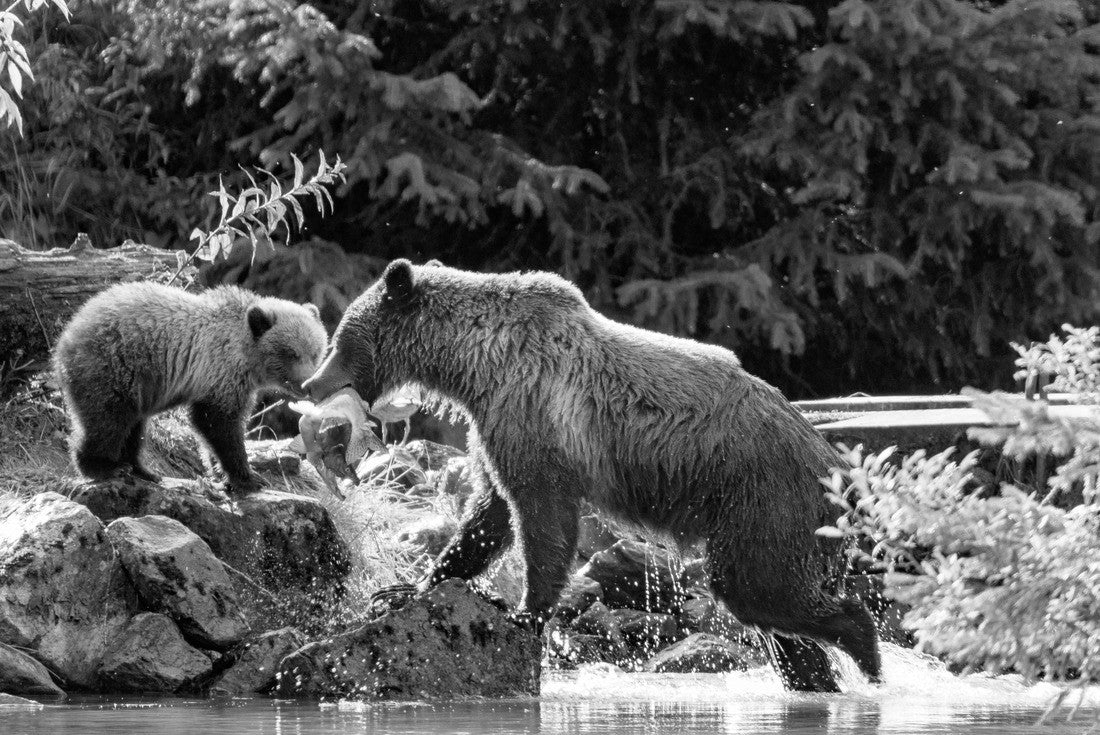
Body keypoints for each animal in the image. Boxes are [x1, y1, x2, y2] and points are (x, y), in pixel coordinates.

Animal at [54, 281, 328, 495]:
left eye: (315, 352)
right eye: (291, 353)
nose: (307, 384)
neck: (248, 357)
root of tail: (66, 335)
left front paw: (221, 474)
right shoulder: (221, 370)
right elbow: (218, 423)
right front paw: (248, 477)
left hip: (138, 385)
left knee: (134, 426)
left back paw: (142, 470)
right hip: (114, 366)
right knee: (108, 420)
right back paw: (104, 466)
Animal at [303, 259, 881, 691]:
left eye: (340, 338)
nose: (311, 384)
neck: (475, 364)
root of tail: (833, 463)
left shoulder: (532, 415)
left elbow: (540, 516)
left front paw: (524, 611)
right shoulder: (493, 425)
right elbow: (488, 514)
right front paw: (407, 588)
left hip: (763, 498)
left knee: (759, 589)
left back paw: (866, 650)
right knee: (776, 621)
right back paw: (818, 678)